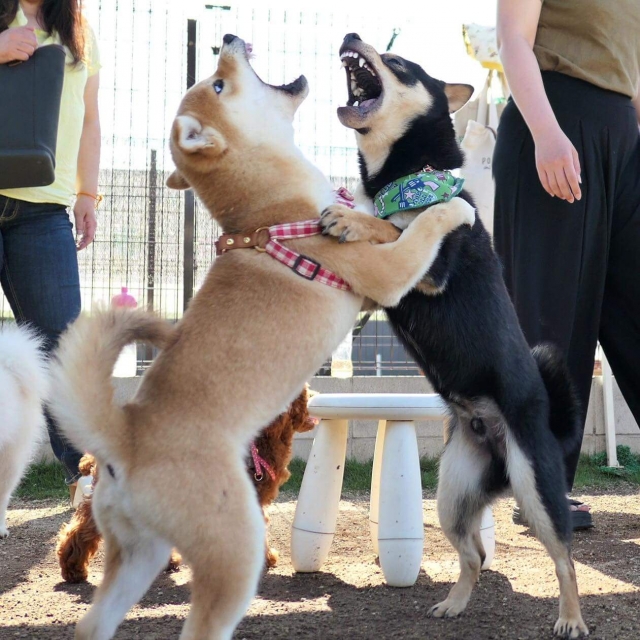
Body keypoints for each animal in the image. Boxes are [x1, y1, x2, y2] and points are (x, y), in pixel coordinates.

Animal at [322, 33, 588, 636]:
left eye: (397, 63)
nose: (349, 36)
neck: (409, 174)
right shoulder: (382, 289)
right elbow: (392, 227)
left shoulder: (431, 268)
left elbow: (405, 225)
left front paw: (359, 219)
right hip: (451, 495)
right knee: (475, 556)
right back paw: (455, 603)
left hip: (536, 490)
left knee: (563, 557)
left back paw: (570, 617)